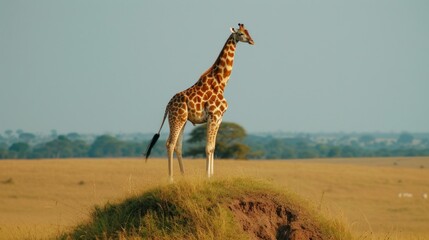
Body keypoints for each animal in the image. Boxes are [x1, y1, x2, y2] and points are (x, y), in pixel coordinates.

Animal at [145, 23, 251, 182]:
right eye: (241, 34)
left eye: (248, 32)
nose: (252, 41)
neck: (221, 83)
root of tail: (168, 105)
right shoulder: (213, 116)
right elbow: (208, 147)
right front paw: (207, 176)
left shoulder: (219, 118)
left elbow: (213, 147)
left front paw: (212, 176)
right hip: (177, 119)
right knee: (170, 144)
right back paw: (171, 179)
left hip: (182, 120)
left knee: (178, 146)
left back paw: (183, 176)